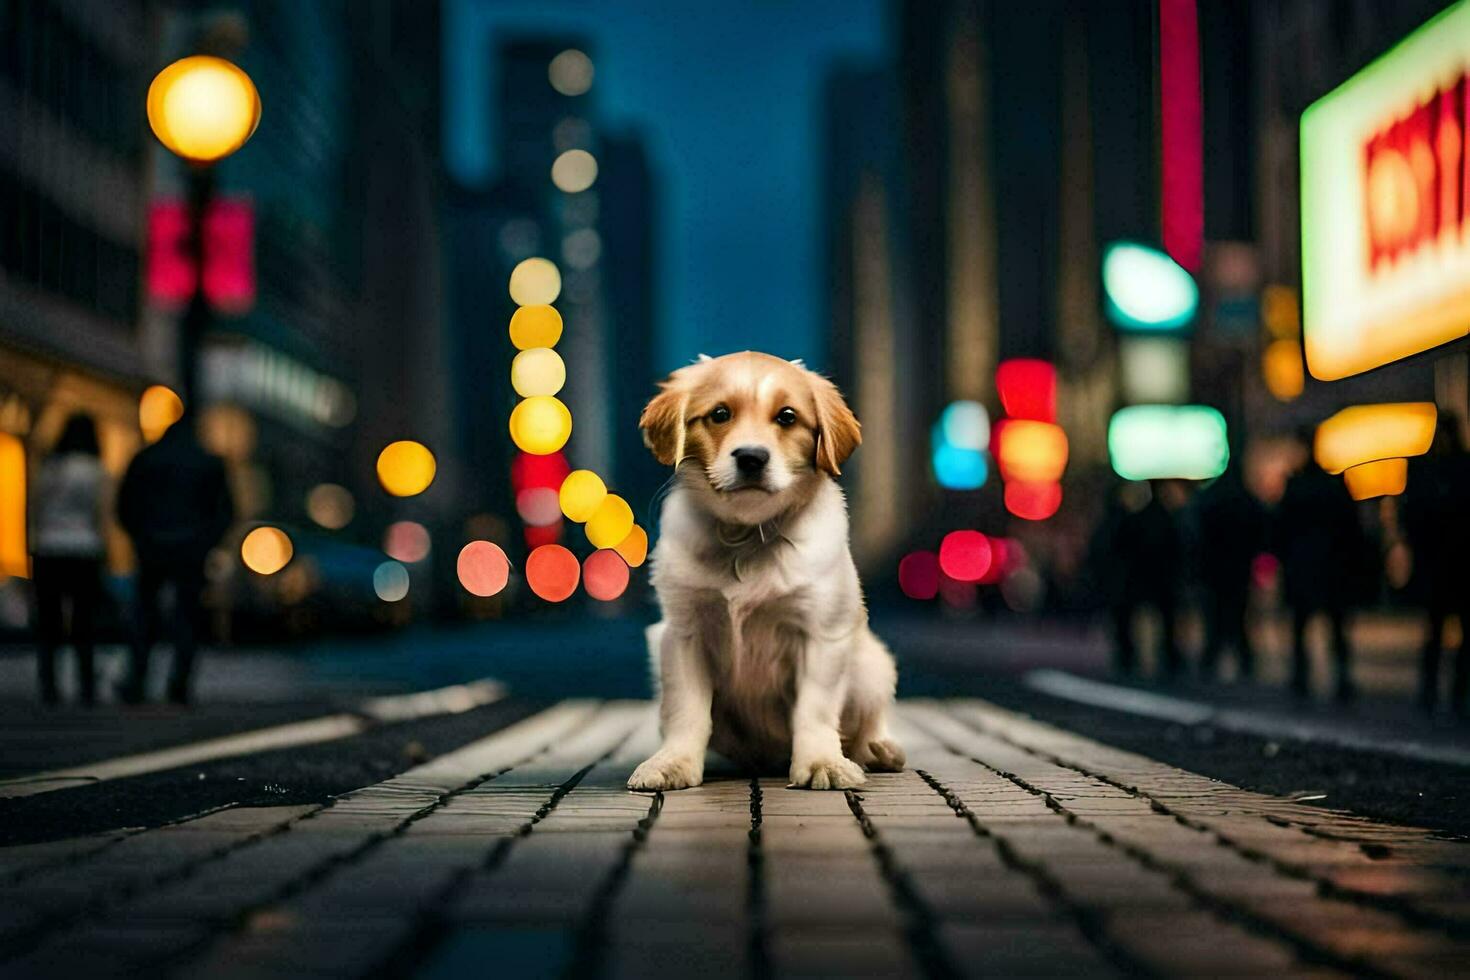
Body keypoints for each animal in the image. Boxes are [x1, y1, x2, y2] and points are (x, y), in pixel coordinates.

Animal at [623, 348, 899, 793]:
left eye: (787, 417)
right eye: (720, 414)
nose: (751, 457)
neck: (746, 534)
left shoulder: (822, 632)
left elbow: (815, 708)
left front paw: (821, 761)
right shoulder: (682, 631)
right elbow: (686, 709)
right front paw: (674, 762)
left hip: (872, 665)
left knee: (868, 719)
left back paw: (879, 748)